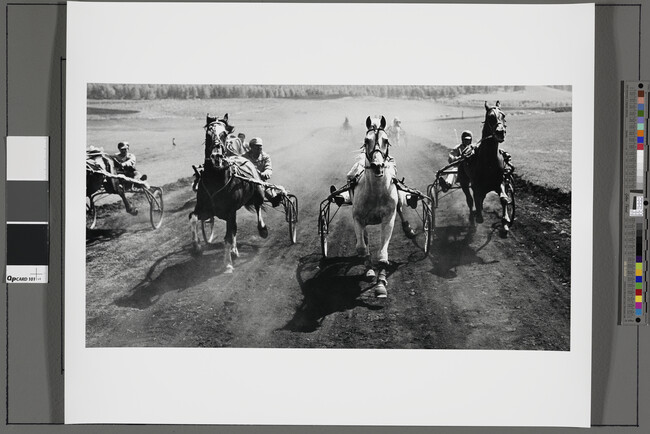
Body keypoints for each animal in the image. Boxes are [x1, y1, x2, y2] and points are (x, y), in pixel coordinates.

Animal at [189, 113, 268, 272]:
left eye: (224, 134)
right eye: (208, 134)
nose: (216, 157)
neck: (216, 181)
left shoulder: (230, 211)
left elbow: (227, 237)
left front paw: (227, 264)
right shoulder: (204, 209)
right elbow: (193, 218)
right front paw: (197, 246)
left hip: (257, 193)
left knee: (258, 207)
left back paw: (261, 230)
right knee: (234, 229)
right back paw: (234, 250)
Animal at [350, 115, 404, 298]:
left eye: (386, 140)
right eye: (367, 140)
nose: (377, 165)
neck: (376, 193)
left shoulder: (388, 218)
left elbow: (382, 255)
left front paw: (381, 284)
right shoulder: (358, 218)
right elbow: (361, 248)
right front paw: (369, 270)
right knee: (364, 240)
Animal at [456, 100, 512, 232]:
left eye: (503, 115)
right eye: (490, 117)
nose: (500, 132)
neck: (489, 161)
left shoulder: (499, 181)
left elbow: (504, 198)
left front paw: (505, 221)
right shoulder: (476, 186)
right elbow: (476, 199)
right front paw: (478, 216)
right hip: (464, 181)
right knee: (470, 200)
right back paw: (473, 219)